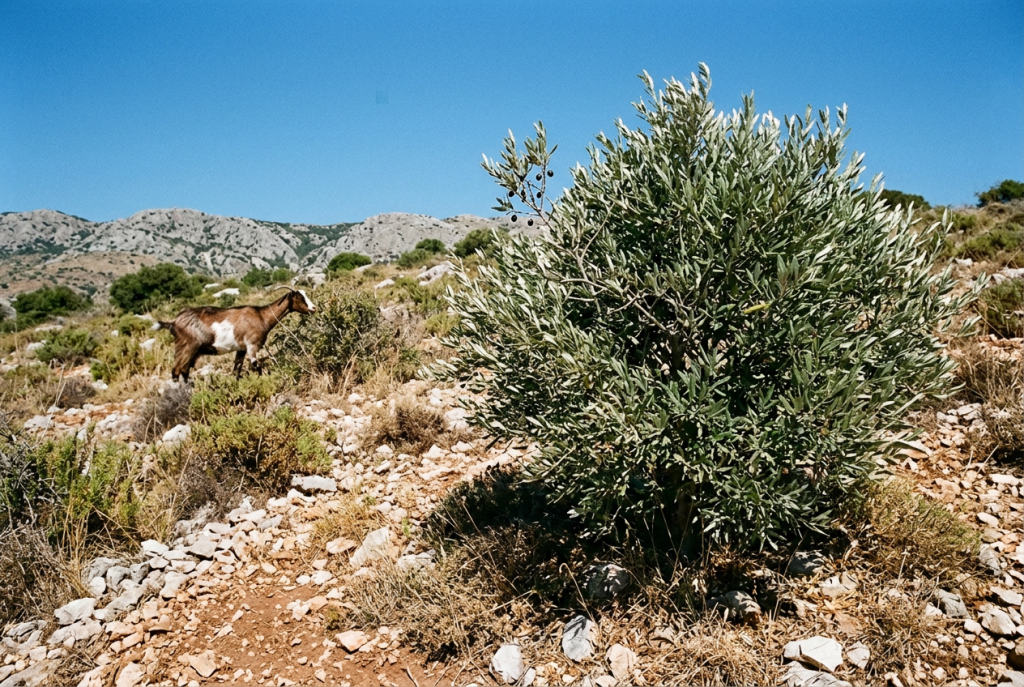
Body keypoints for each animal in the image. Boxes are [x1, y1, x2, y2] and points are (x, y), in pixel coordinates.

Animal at [155, 288, 316, 382]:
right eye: (299, 297)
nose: (313, 308)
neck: (261, 316)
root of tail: (174, 322)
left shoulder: (241, 349)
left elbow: (236, 371)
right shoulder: (252, 345)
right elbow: (257, 367)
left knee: (184, 371)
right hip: (186, 346)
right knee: (176, 371)